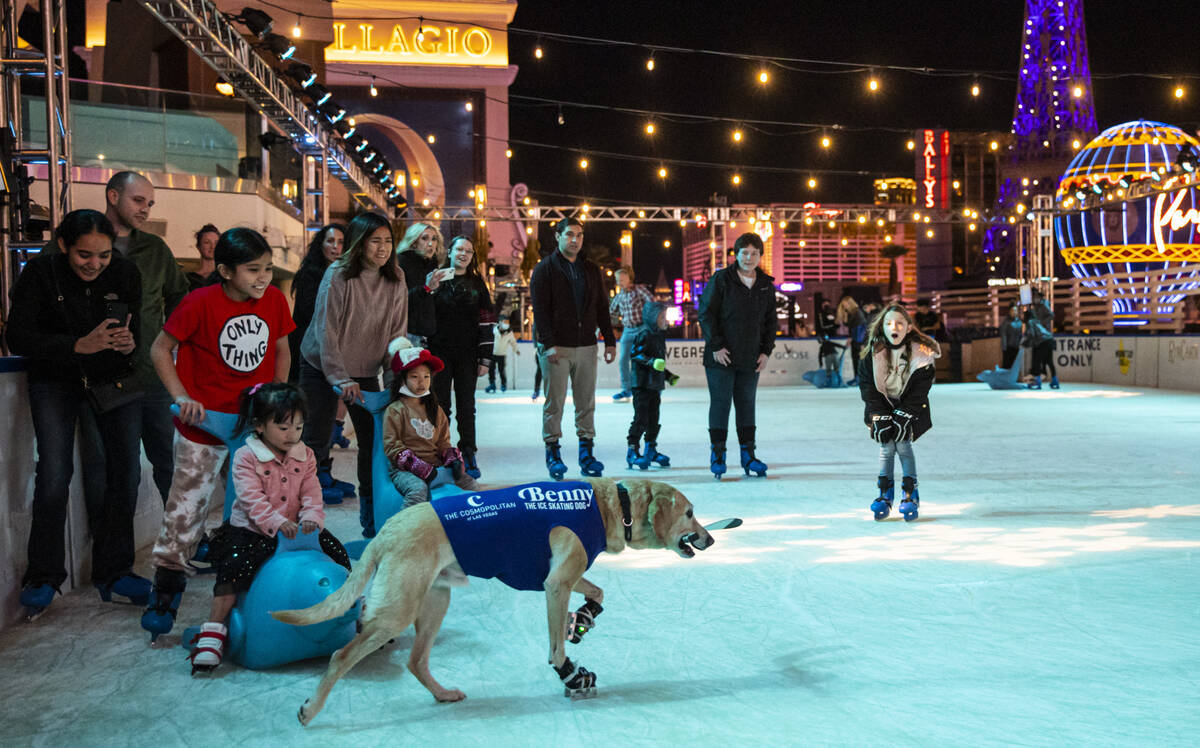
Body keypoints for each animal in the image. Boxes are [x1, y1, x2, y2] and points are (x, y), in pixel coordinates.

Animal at [272, 480, 710, 725]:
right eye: (690, 513)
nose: (711, 538)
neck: (609, 504)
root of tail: (386, 530)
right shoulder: (556, 584)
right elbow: (555, 649)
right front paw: (572, 676)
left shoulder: (563, 578)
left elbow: (598, 593)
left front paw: (584, 618)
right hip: (396, 613)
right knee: (340, 657)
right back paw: (310, 710)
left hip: (435, 602)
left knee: (416, 661)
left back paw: (442, 694)